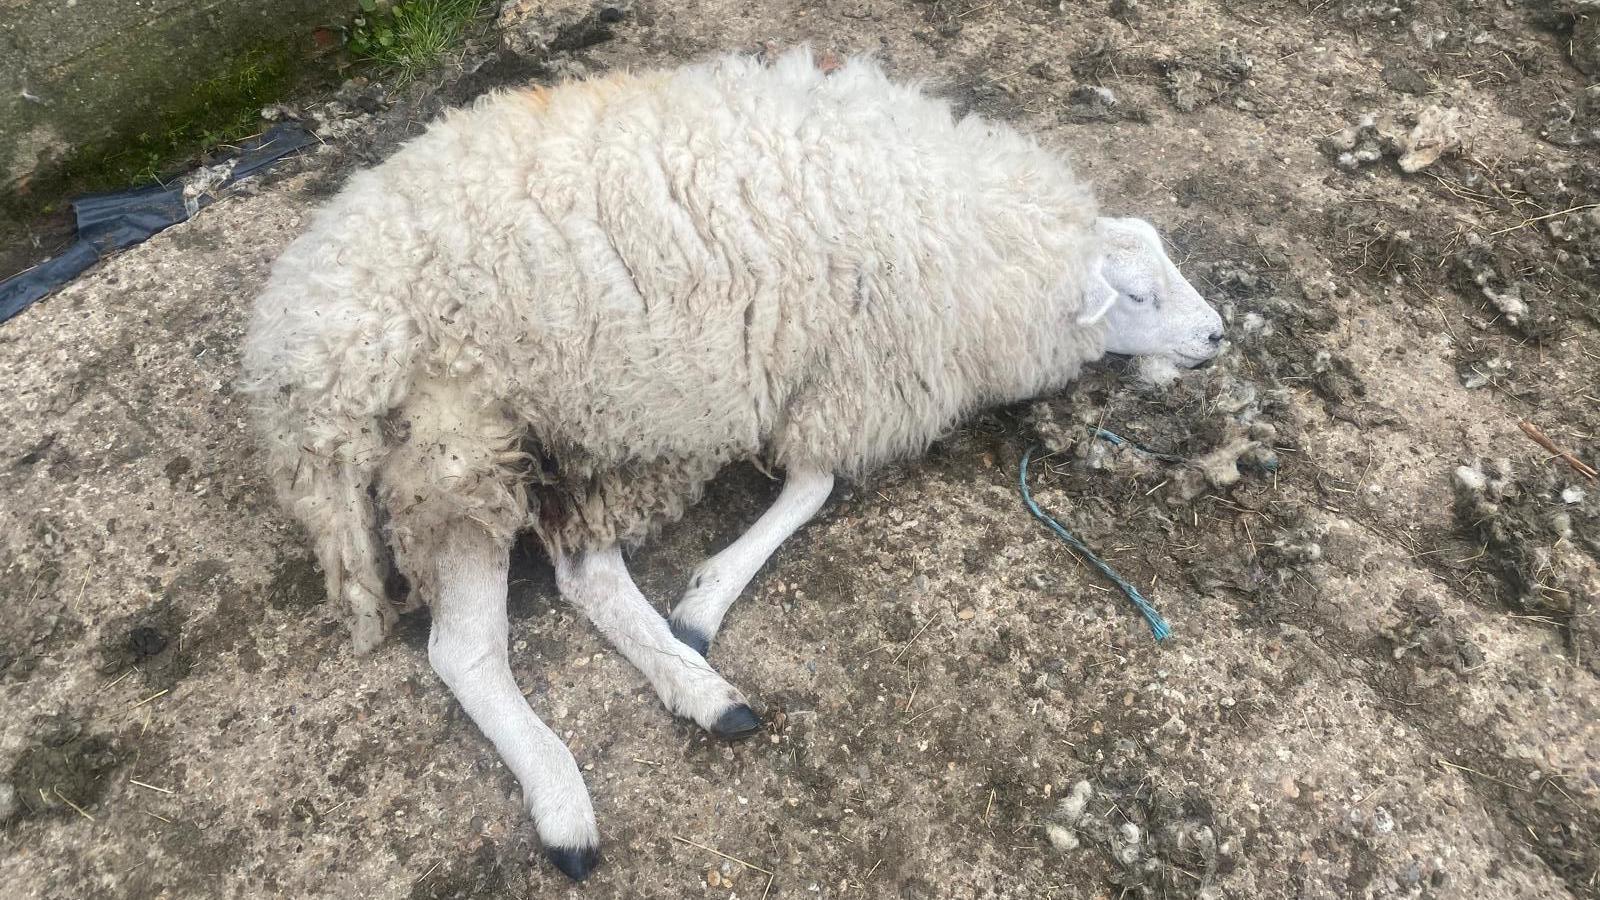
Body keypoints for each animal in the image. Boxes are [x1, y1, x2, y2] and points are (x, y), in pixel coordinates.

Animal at [236, 43, 1216, 877]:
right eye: (1137, 294)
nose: (1215, 335)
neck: (979, 238)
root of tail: (304, 346)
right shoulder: (846, 374)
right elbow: (815, 485)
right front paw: (711, 590)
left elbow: (805, 487)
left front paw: (700, 609)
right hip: (456, 453)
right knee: (467, 650)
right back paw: (566, 804)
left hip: (584, 432)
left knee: (586, 576)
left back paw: (697, 687)